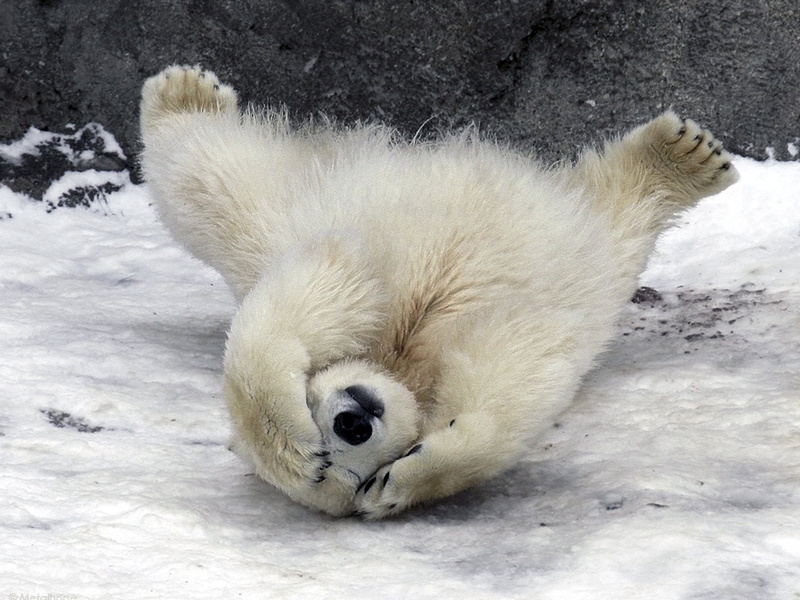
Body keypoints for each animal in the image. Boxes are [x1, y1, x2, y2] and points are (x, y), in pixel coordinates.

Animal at [139, 65, 738, 519]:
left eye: (313, 408)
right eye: (346, 474)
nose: (353, 420)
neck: (399, 359)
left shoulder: (354, 276)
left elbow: (321, 294)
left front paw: (289, 436)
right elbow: (512, 363)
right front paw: (413, 477)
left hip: (292, 212)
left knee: (217, 185)